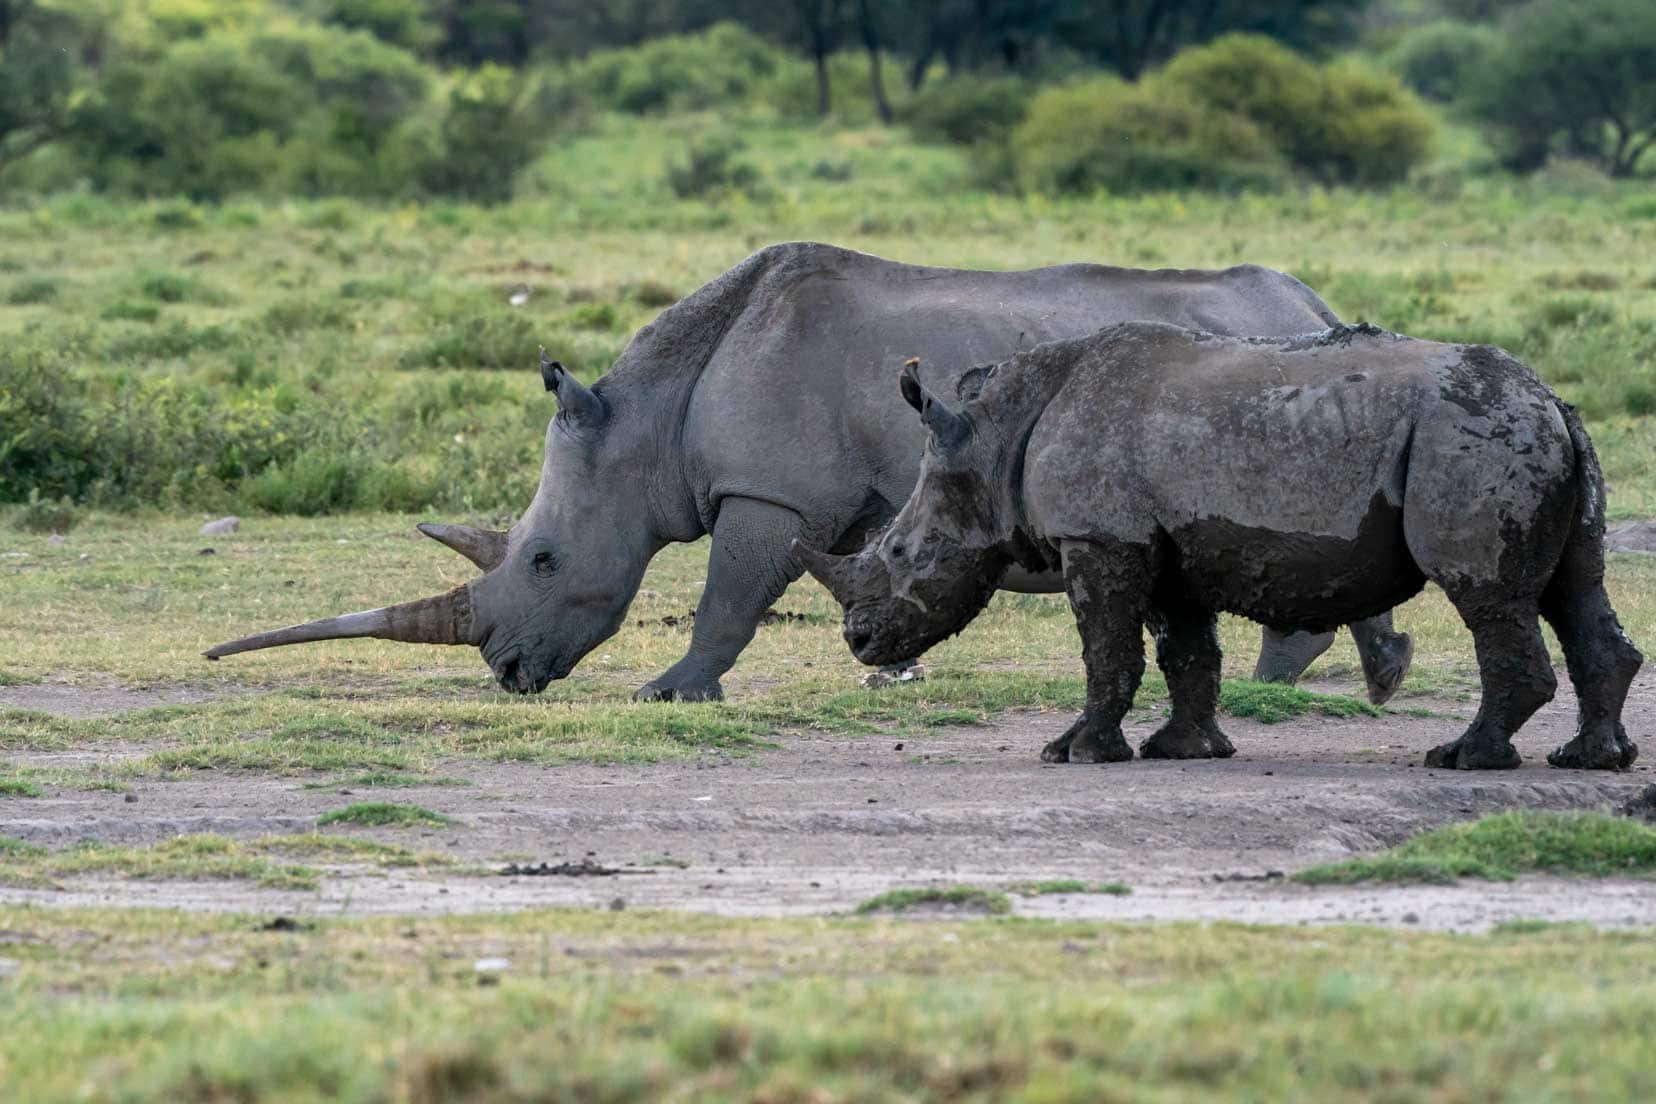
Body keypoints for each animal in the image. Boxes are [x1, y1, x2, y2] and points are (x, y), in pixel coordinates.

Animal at [207, 246, 1410, 705]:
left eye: (544, 559)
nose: (507, 673)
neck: (648, 418)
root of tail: (1311, 300)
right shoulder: (847, 497)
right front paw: (891, 671)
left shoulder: (769, 491)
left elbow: (729, 597)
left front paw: (669, 693)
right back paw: (1348, 678)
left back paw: (1281, 684)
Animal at [794, 319, 1636, 768]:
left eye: (900, 555)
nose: (859, 641)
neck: (994, 440)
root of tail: (1553, 398)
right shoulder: (1164, 547)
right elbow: (1185, 653)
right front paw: (1185, 749)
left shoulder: (1102, 539)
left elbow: (1107, 650)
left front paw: (1076, 752)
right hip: (1520, 436)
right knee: (1574, 587)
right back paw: (1590, 760)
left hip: (1470, 440)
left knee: (1488, 595)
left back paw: (1464, 759)